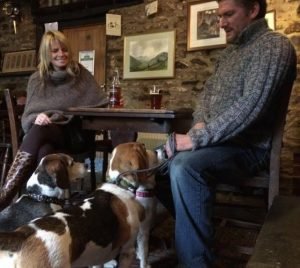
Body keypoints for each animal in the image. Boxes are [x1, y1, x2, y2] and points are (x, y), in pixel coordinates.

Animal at [0, 142, 159, 266]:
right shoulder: (127, 250)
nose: (157, 151)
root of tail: (20, 235)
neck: (119, 185)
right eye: (144, 148)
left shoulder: (97, 255)